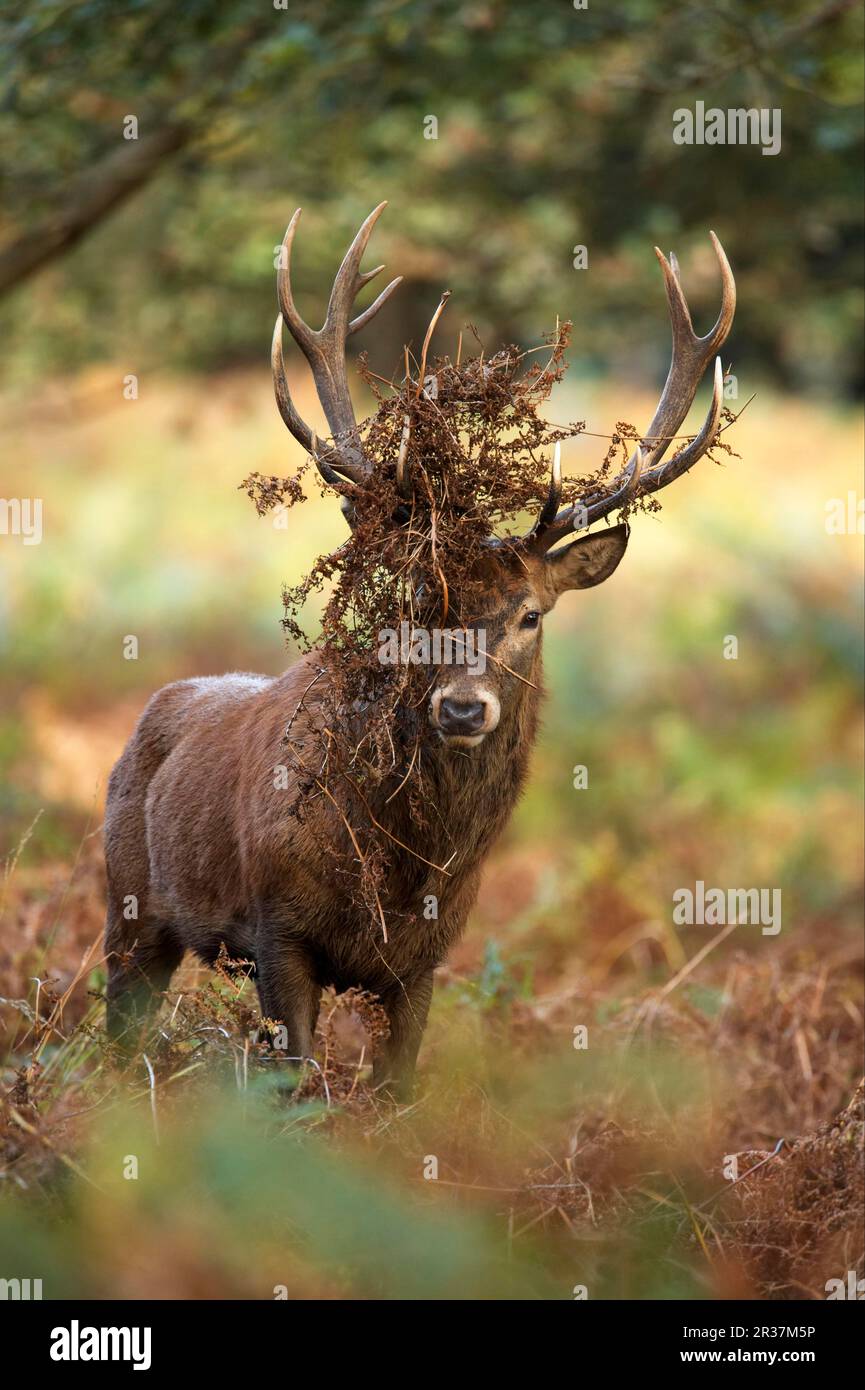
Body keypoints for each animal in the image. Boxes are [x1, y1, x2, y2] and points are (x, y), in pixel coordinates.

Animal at [104, 205, 734, 1095]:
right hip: (126, 905)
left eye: (530, 615)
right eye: (417, 601)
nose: (463, 706)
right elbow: (296, 1087)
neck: (406, 875)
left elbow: (399, 1090)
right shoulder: (275, 929)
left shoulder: (428, 960)